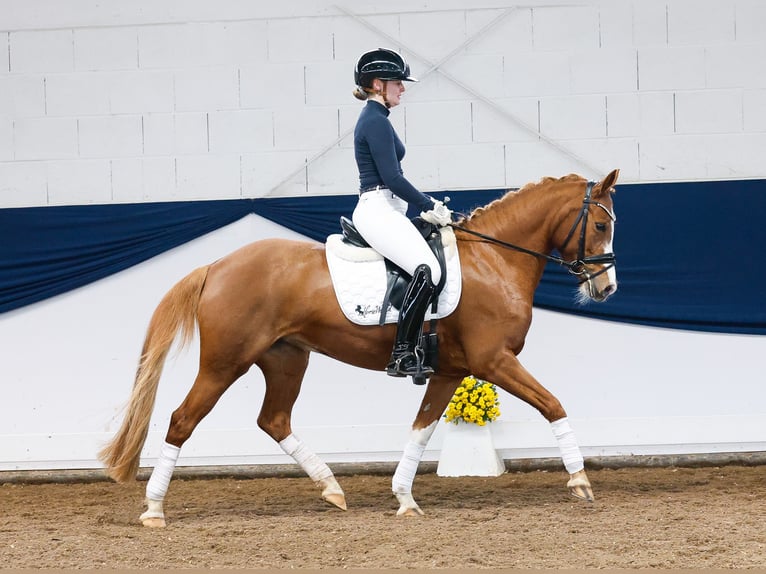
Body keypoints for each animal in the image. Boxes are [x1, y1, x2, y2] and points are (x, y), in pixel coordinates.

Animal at [99, 170, 620, 528]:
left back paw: (332, 489)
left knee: (274, 420)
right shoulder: (494, 361)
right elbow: (553, 404)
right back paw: (154, 509)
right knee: (182, 420)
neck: (493, 259)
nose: (607, 288)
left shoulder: (451, 371)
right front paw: (580, 481)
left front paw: (404, 498)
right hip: (225, 363)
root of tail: (217, 265)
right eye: (599, 225)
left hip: (286, 358)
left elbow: (421, 430)